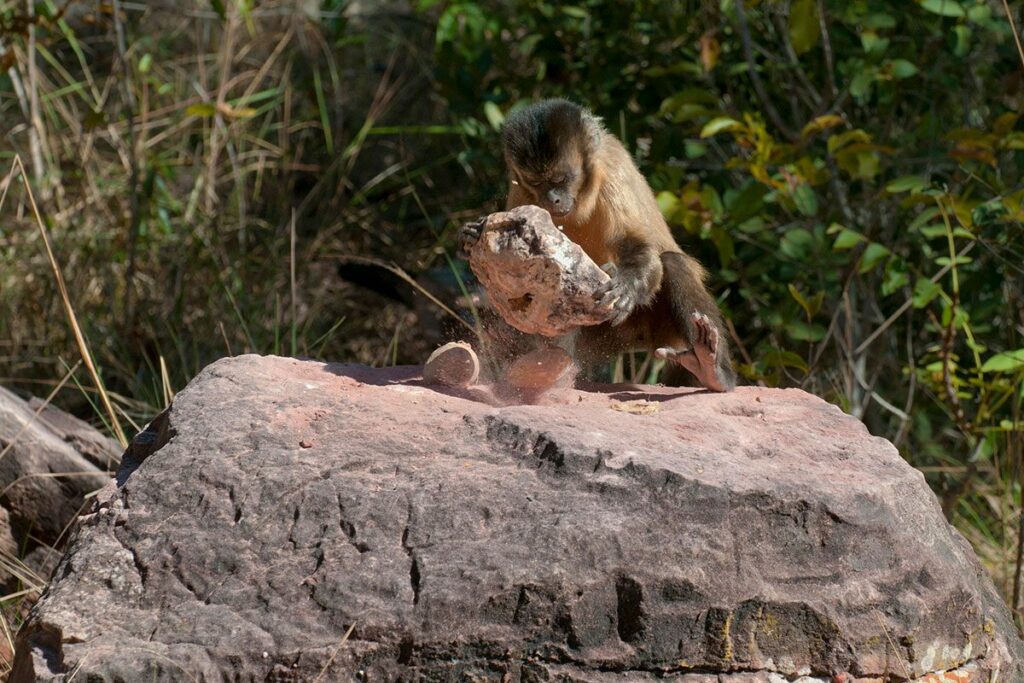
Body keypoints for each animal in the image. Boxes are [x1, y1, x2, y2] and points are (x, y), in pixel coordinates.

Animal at [460, 98, 736, 392]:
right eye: (536, 182)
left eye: (560, 179)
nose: (552, 199)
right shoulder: (520, 187)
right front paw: (472, 233)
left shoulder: (612, 171)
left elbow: (635, 243)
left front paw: (626, 284)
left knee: (672, 263)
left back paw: (711, 368)